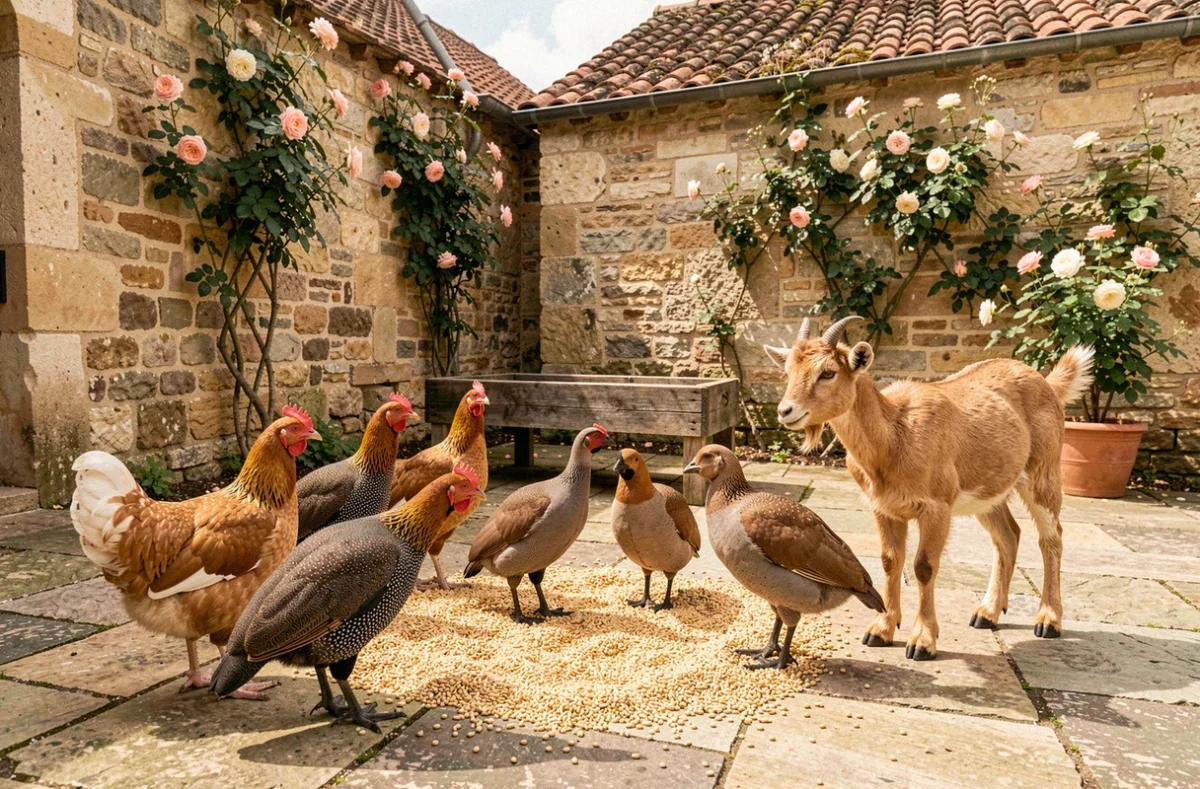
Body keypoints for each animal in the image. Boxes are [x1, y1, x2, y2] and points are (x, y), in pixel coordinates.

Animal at [764, 315, 1093, 660]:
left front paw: (922, 641)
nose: (786, 411)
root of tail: (1047, 384)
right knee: (1008, 535)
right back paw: (987, 613)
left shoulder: (937, 507)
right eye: (788, 371)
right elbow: (889, 560)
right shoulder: (883, 508)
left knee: (1051, 537)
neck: (894, 436)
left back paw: (1048, 620)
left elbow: (923, 566)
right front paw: (881, 630)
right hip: (987, 494)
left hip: (1043, 473)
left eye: (828, 372)